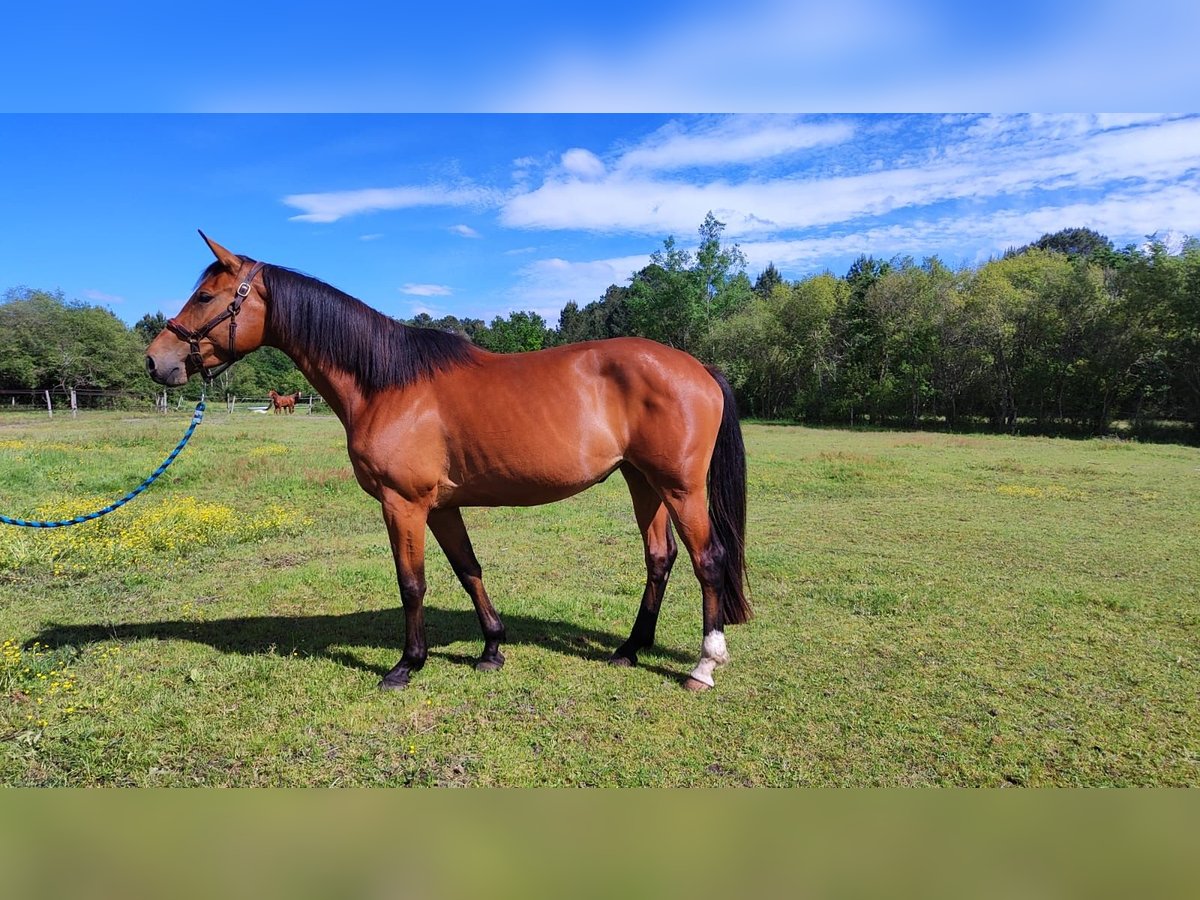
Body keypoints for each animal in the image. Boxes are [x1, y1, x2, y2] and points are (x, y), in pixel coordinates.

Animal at [147, 230, 748, 691]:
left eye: (206, 297)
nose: (156, 361)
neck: (387, 383)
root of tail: (698, 367)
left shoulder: (403, 504)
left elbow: (411, 583)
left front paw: (406, 665)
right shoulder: (439, 506)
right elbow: (468, 569)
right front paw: (492, 648)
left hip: (680, 487)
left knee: (708, 559)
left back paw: (703, 665)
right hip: (642, 481)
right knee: (660, 558)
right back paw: (630, 648)